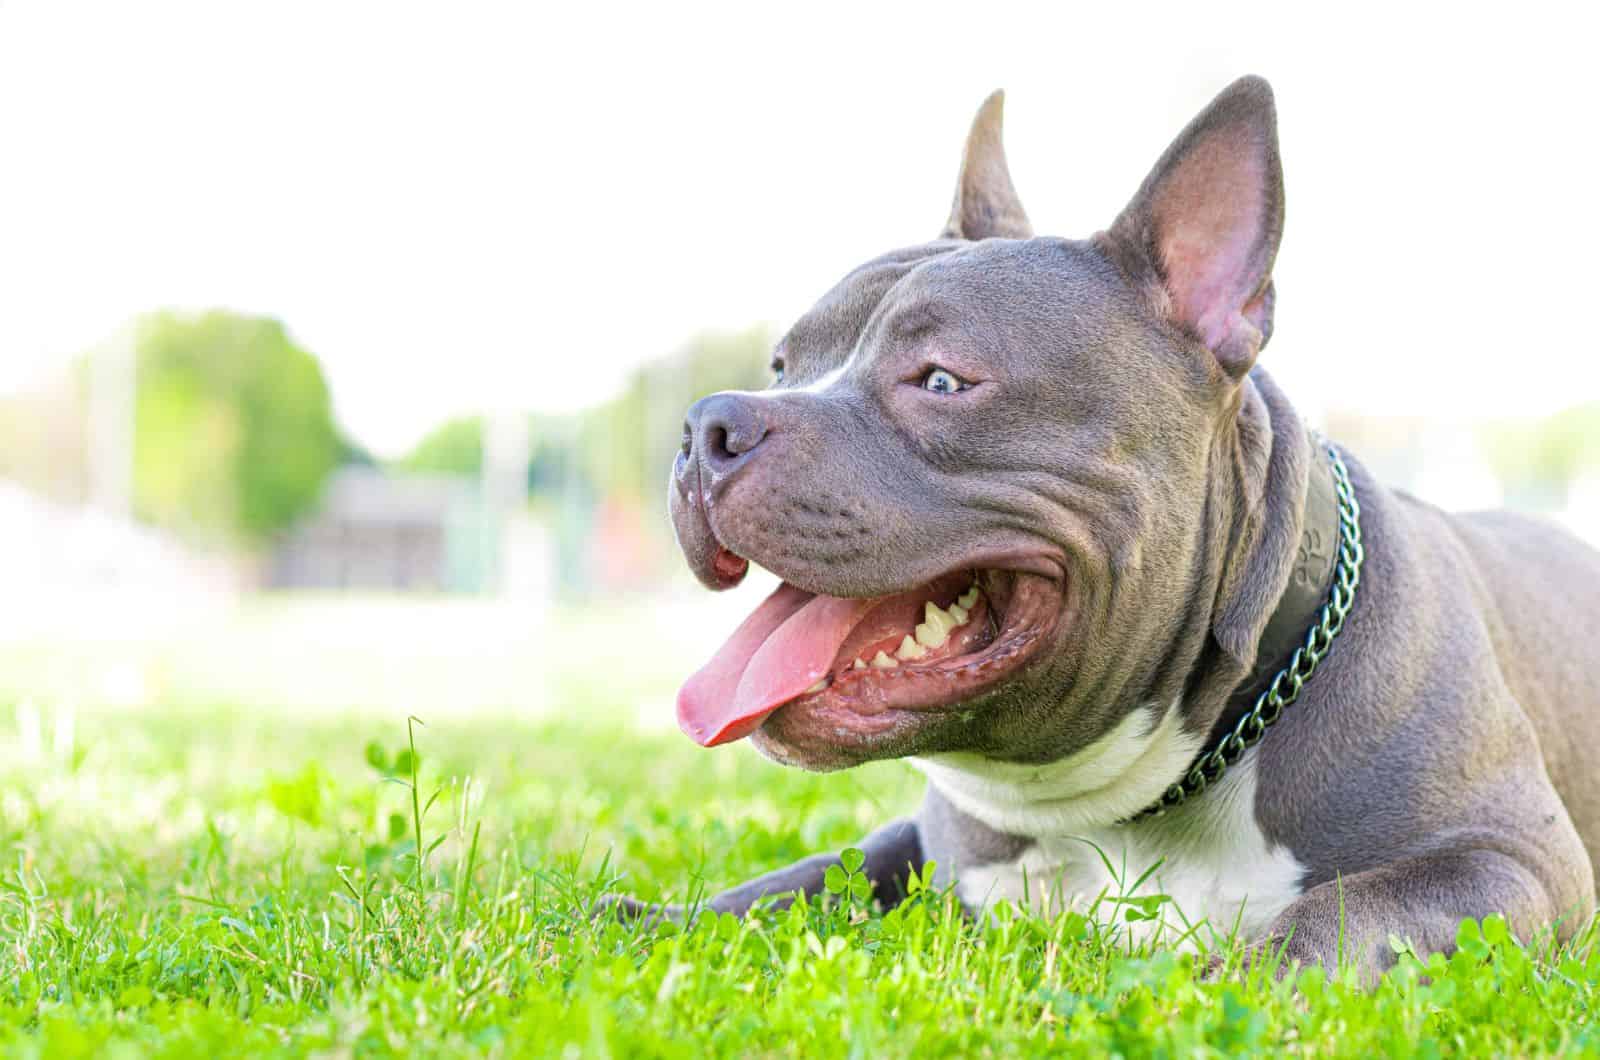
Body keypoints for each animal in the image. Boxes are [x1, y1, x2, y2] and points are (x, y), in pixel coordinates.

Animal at [624, 78, 1600, 986]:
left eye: (941, 381)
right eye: (782, 366)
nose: (706, 427)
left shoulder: (1510, 862)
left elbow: (1343, 915)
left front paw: (1229, 982)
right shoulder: (922, 850)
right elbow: (807, 876)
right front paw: (646, 916)